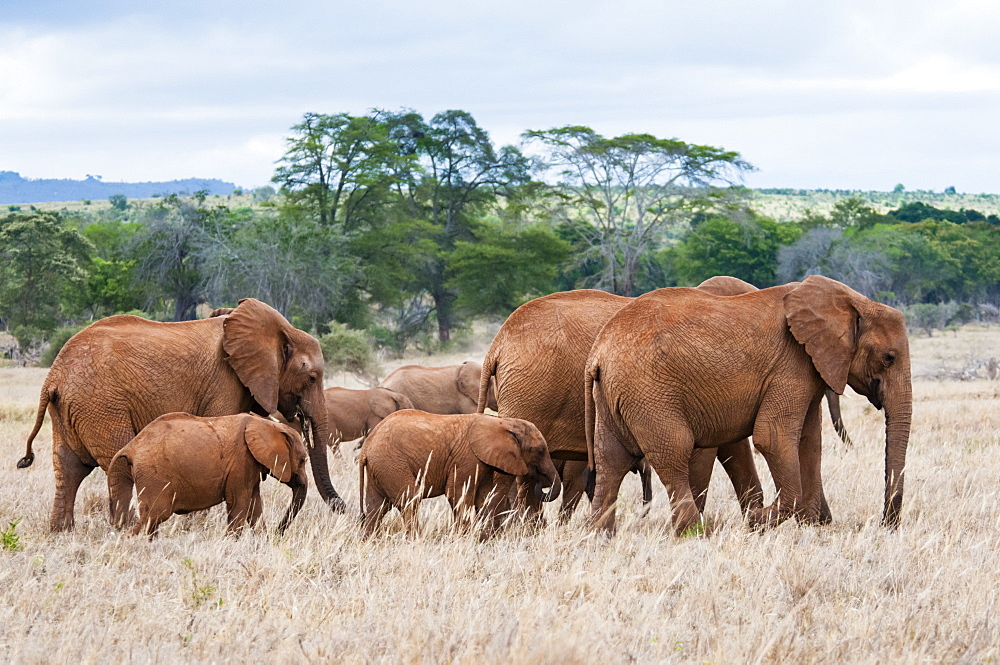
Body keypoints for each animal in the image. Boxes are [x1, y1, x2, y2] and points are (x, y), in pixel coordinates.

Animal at [105, 412, 308, 536]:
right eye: (303, 460)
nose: (278, 533)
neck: (265, 424)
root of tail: (132, 446)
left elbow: (254, 507)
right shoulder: (241, 462)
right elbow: (240, 504)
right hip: (154, 476)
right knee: (154, 517)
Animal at [360, 410, 564, 540]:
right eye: (539, 451)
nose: (540, 482)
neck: (502, 422)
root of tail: (366, 447)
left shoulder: (483, 461)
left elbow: (483, 497)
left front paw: (483, 539)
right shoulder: (467, 458)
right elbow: (458, 495)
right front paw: (462, 538)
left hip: (381, 467)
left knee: (376, 506)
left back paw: (370, 542)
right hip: (391, 462)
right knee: (410, 499)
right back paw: (417, 540)